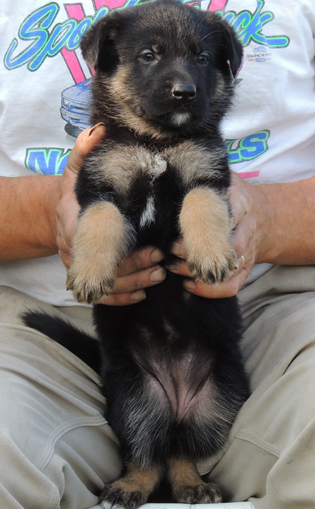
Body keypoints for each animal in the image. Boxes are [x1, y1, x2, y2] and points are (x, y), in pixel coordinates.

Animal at [23, 0, 251, 504]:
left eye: (202, 58)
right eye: (148, 56)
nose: (184, 93)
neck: (157, 142)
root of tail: (174, 396)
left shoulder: (207, 175)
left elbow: (201, 203)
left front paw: (211, 256)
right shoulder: (99, 185)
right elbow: (100, 219)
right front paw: (90, 273)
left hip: (218, 401)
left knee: (181, 449)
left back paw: (192, 485)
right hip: (132, 399)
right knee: (146, 452)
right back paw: (127, 488)